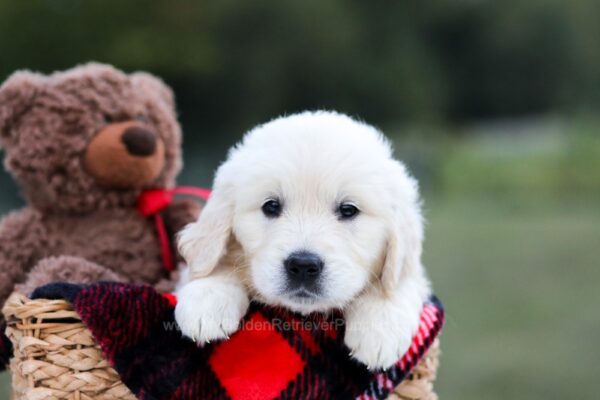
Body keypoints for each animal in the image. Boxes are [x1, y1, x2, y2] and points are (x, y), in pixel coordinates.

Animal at [173, 111, 432, 370]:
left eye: (348, 210)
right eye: (271, 206)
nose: (303, 265)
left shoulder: (411, 271)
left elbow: (396, 283)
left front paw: (379, 329)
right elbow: (216, 264)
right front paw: (206, 302)